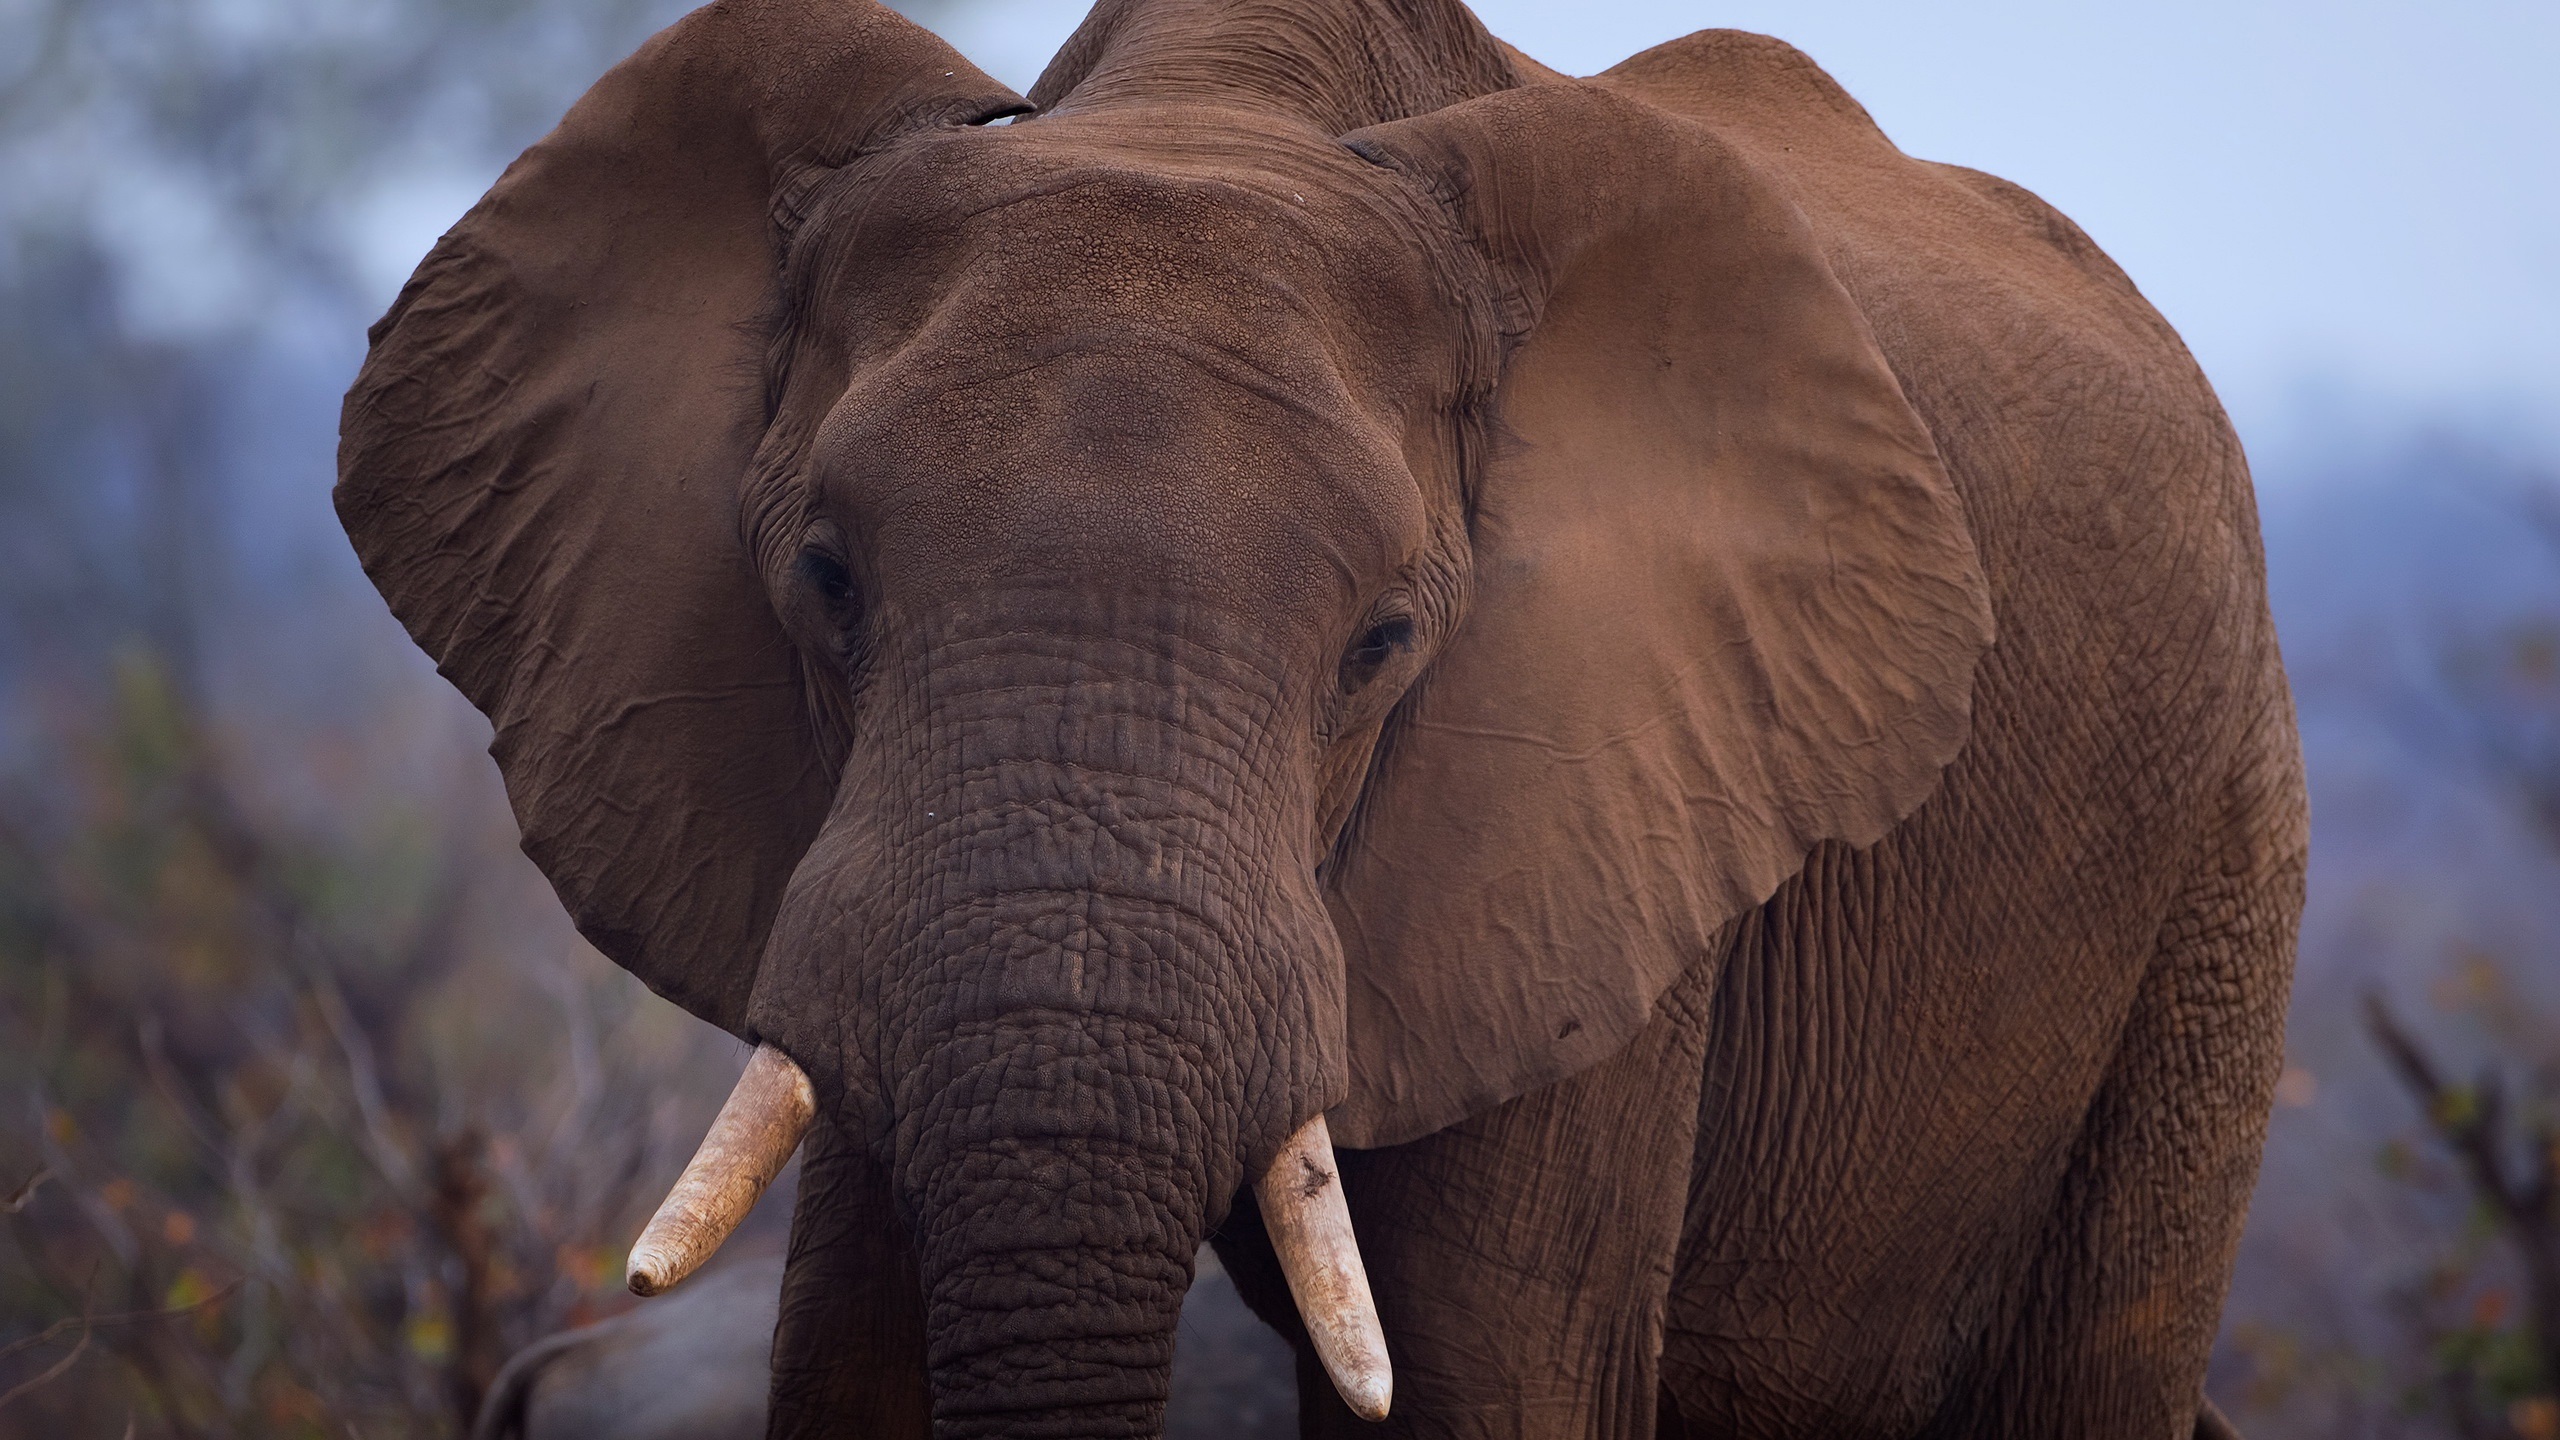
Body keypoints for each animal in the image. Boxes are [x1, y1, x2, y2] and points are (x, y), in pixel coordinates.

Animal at [336, 0, 2308, 1436]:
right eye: (823, 580)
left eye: (1383, 645)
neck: (1212, 105)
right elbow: (851, 1346)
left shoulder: (1612, 803)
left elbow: (1494, 1377)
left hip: (2223, 852)